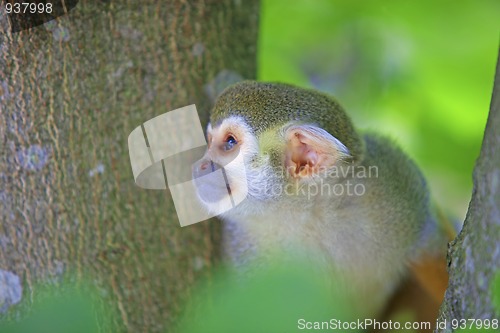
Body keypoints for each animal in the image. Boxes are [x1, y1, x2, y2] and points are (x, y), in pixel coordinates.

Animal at [191, 80, 450, 320]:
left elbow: (429, 244)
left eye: (230, 142)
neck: (306, 214)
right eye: (210, 141)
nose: (199, 165)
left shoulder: (394, 186)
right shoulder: (244, 253)